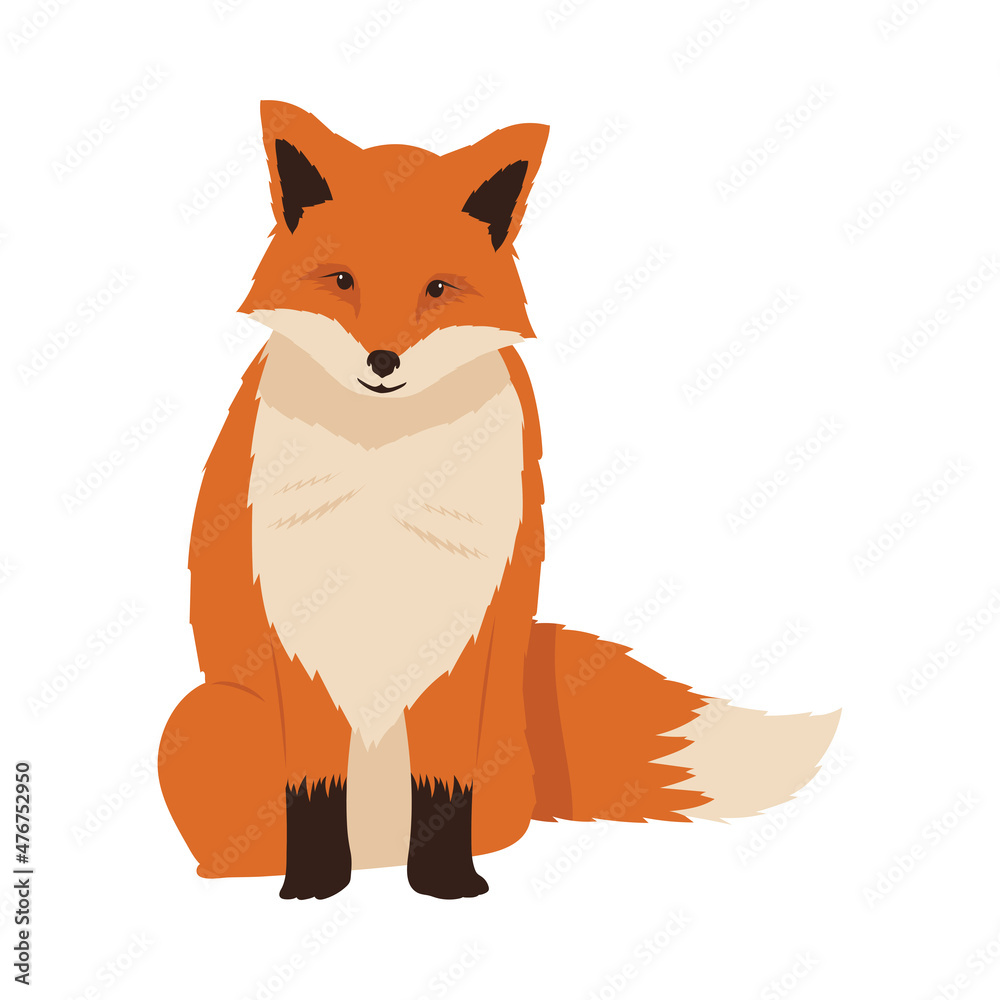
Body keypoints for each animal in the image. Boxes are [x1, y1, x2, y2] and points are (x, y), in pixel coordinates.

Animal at [158, 100, 840, 900]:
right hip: (204, 717)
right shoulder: (298, 631)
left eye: (437, 289)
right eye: (342, 279)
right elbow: (314, 787)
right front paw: (315, 884)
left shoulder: (464, 632)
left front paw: (448, 883)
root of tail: (378, 854)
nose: (382, 360)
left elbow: (445, 783)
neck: (387, 464)